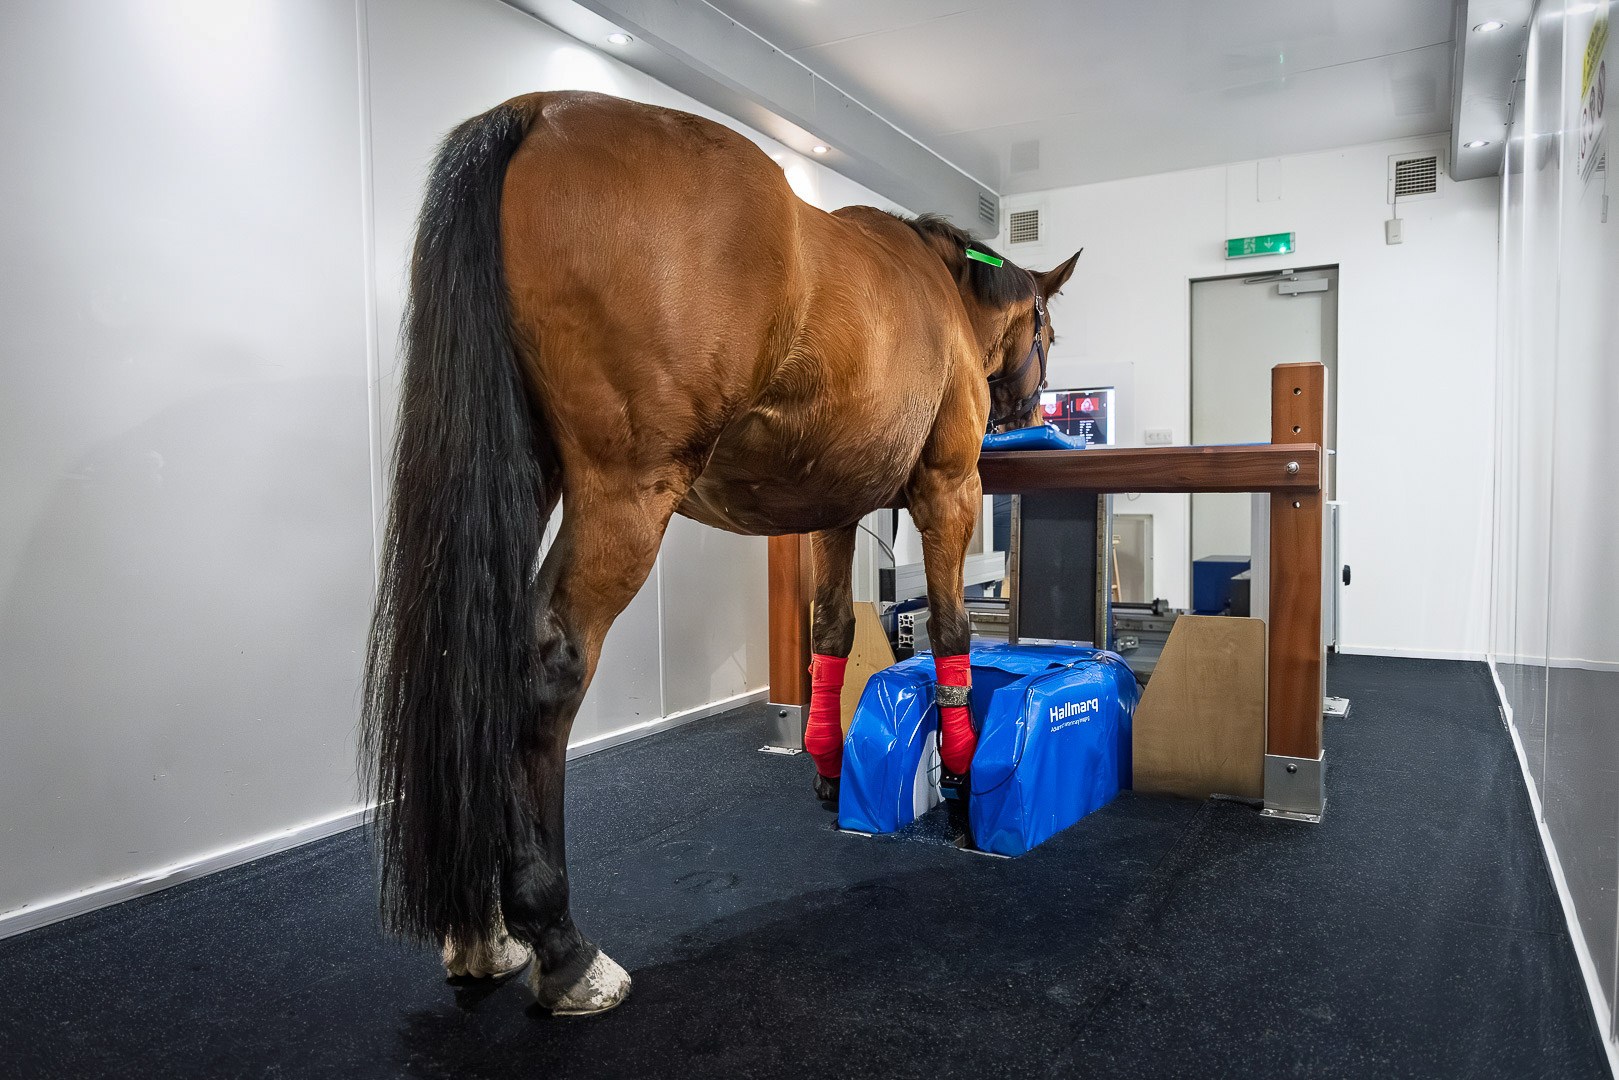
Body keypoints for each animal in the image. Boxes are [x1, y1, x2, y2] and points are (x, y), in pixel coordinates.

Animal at [362, 90, 1080, 1016]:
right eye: (1047, 330)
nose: (1029, 406)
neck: (939, 292)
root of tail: (538, 110)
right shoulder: (948, 488)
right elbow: (952, 633)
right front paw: (959, 781)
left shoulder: (833, 510)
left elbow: (830, 634)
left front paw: (827, 768)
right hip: (628, 490)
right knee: (548, 663)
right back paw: (560, 944)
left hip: (518, 472)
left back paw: (480, 931)